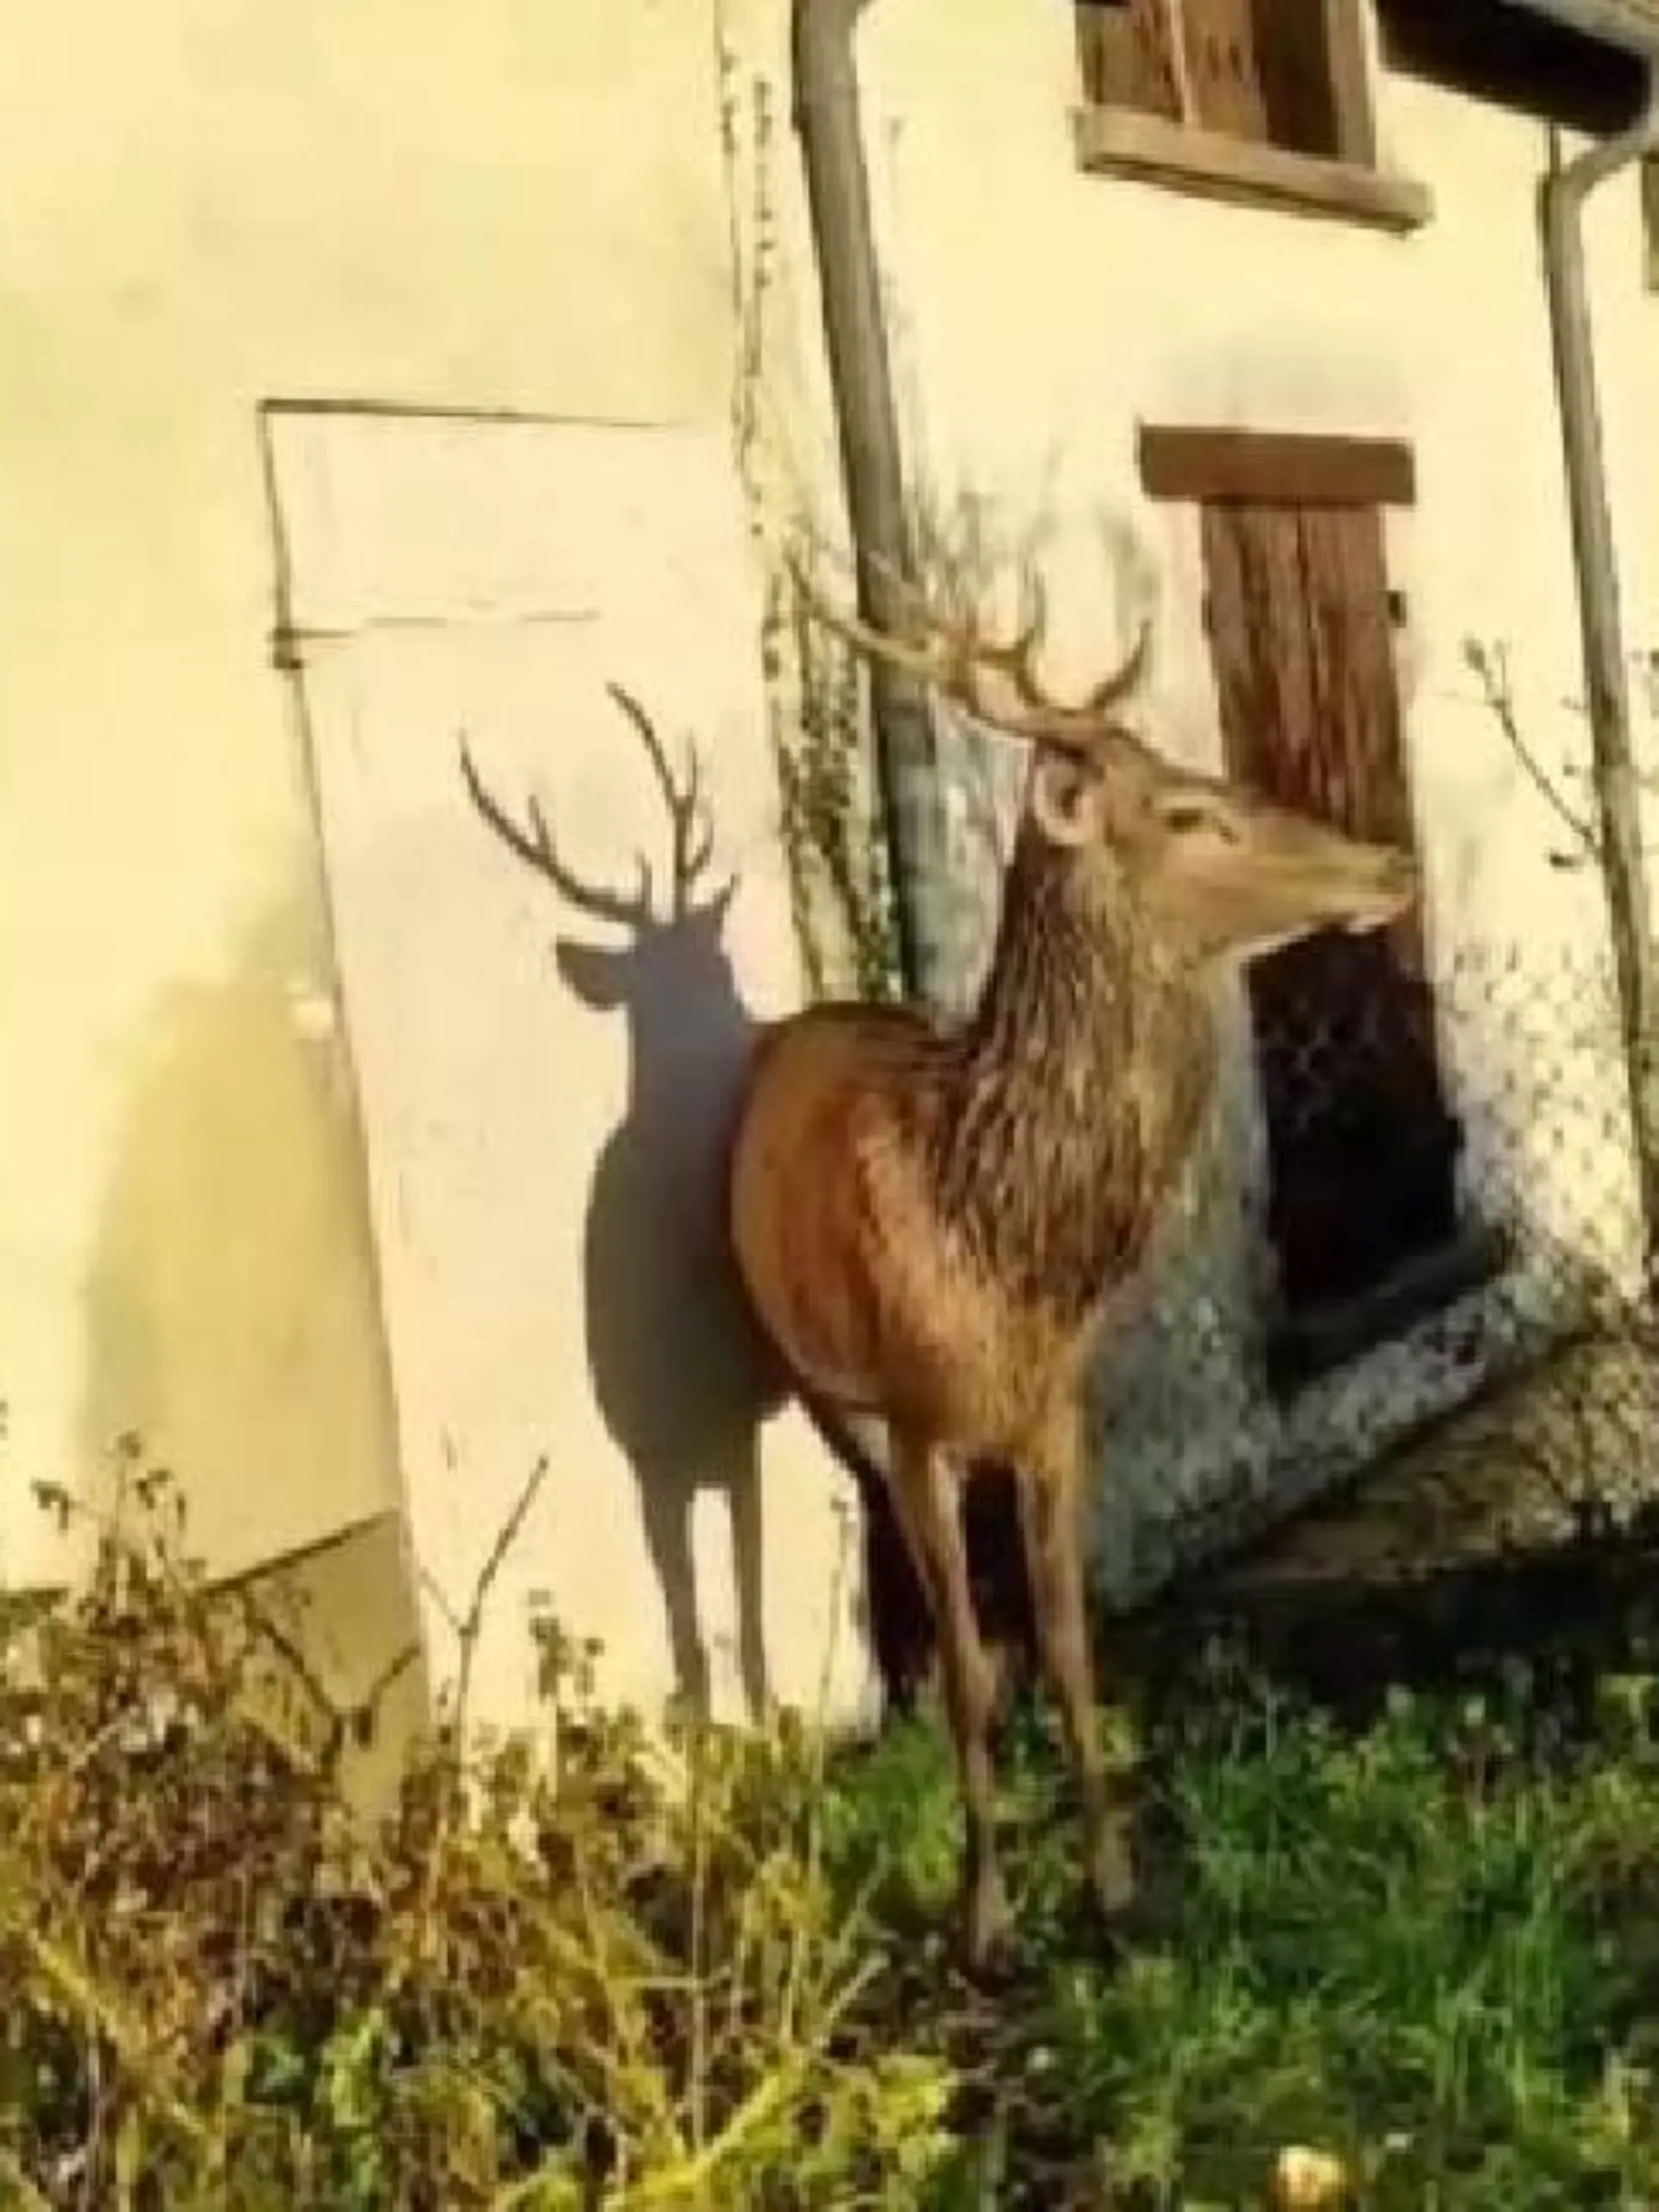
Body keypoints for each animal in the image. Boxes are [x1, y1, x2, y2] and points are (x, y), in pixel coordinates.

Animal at [727, 558, 1418, 1968]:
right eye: (1191, 812)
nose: (1390, 857)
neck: (1003, 1233)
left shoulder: (1058, 1416)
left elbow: (1069, 1642)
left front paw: (1110, 1888)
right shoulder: (924, 1421)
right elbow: (975, 1667)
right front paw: (985, 1914)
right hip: (816, 1382)